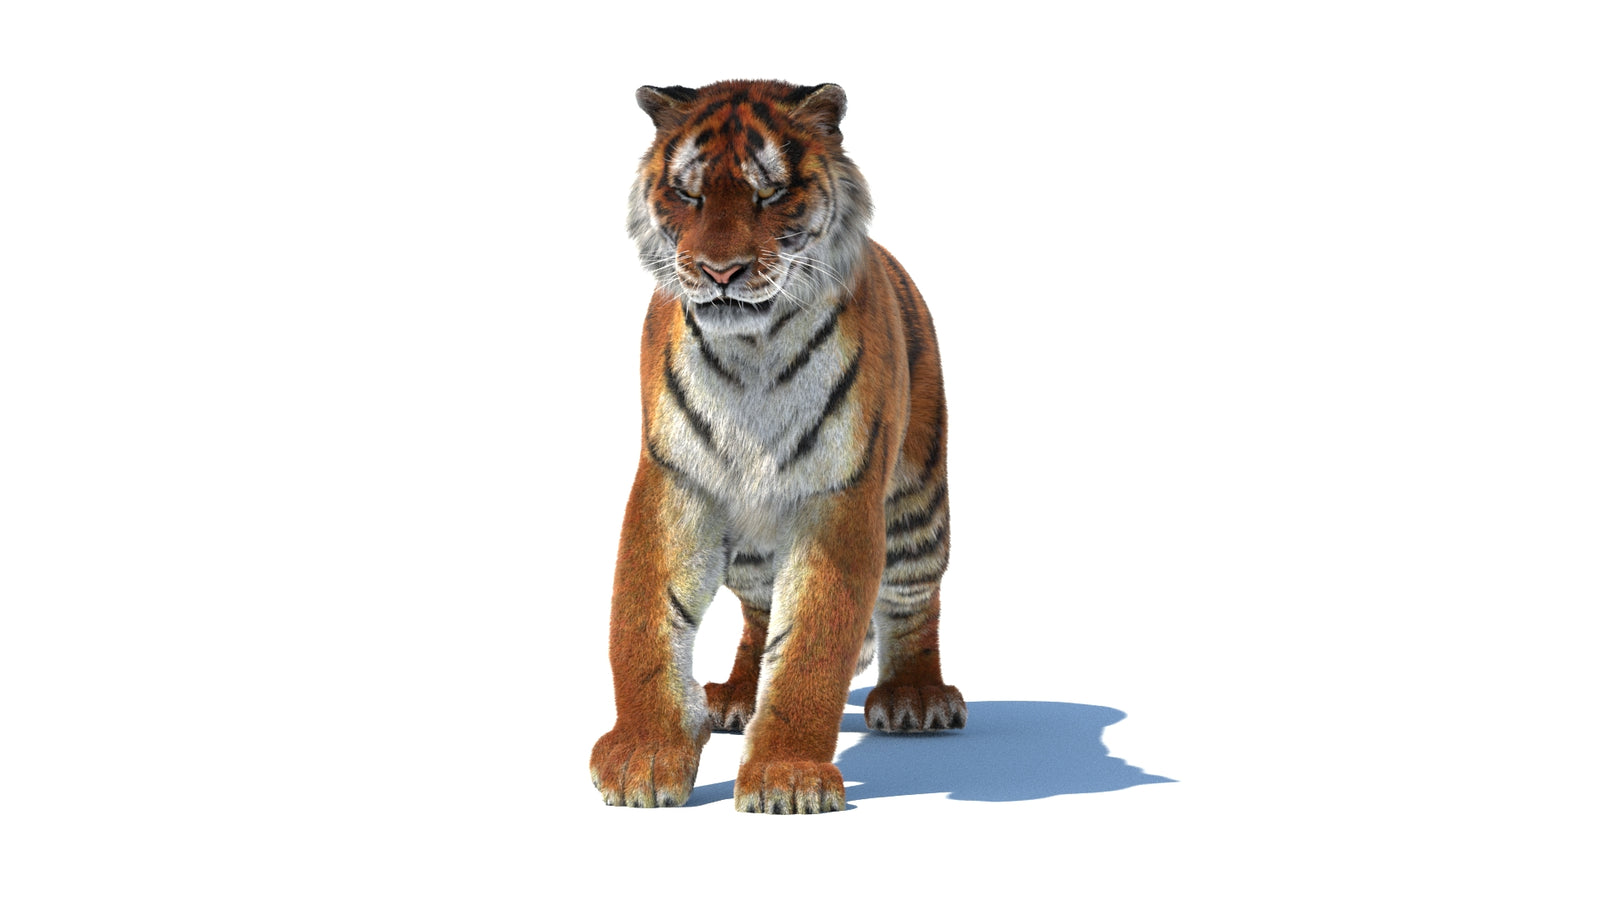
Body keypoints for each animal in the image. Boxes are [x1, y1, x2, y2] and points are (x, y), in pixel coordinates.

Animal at [589, 79, 963, 814]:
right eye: (690, 196)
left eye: (769, 195)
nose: (721, 271)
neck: (751, 355)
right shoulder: (674, 480)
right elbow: (641, 622)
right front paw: (644, 757)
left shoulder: (838, 498)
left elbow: (812, 646)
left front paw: (786, 777)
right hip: (754, 547)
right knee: (760, 609)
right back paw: (736, 695)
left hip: (916, 505)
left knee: (914, 602)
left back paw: (915, 698)